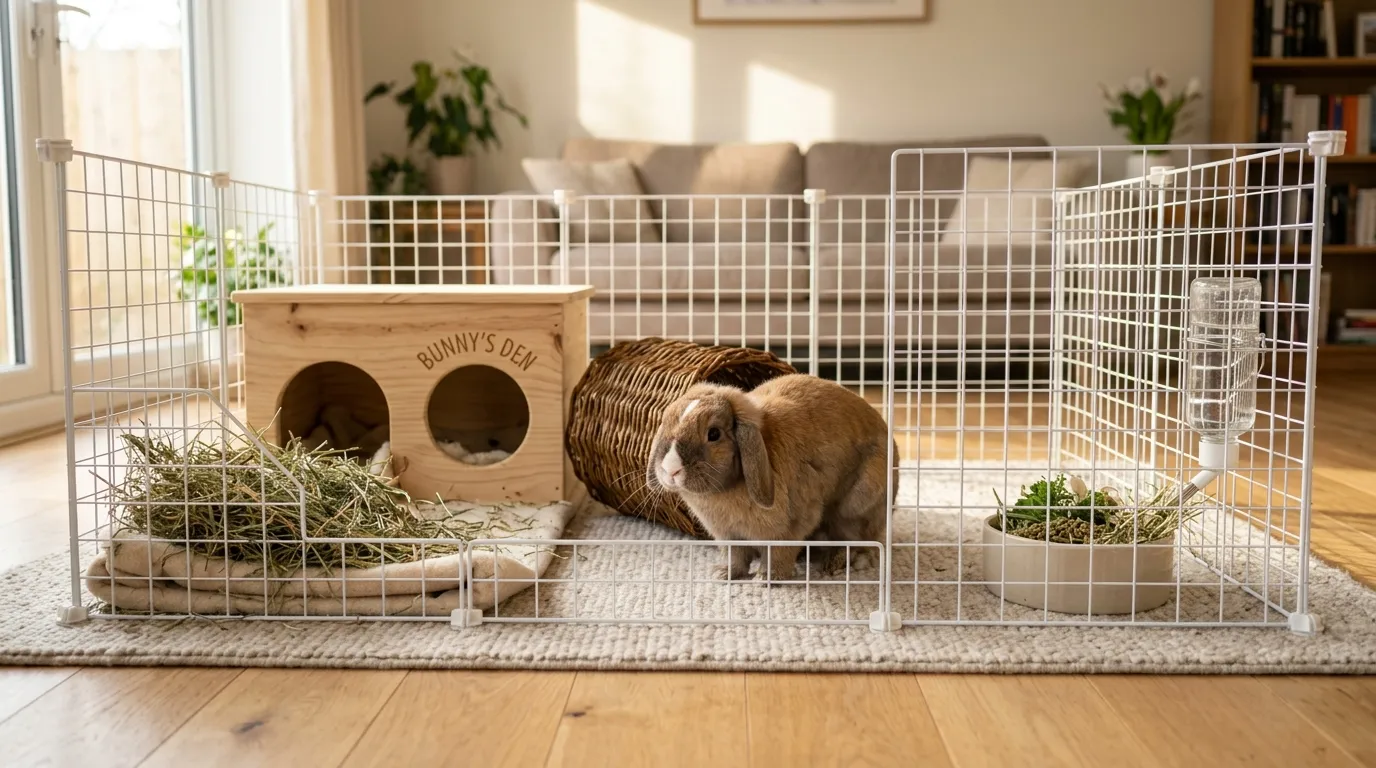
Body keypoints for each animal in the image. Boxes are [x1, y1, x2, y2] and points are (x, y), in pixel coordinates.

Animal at [645, 373, 898, 582]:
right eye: (667, 422)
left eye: (714, 434)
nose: (671, 468)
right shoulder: (729, 535)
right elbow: (736, 556)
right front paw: (724, 574)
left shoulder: (788, 528)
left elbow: (778, 553)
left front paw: (766, 579)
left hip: (856, 506)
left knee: (857, 541)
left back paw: (837, 564)